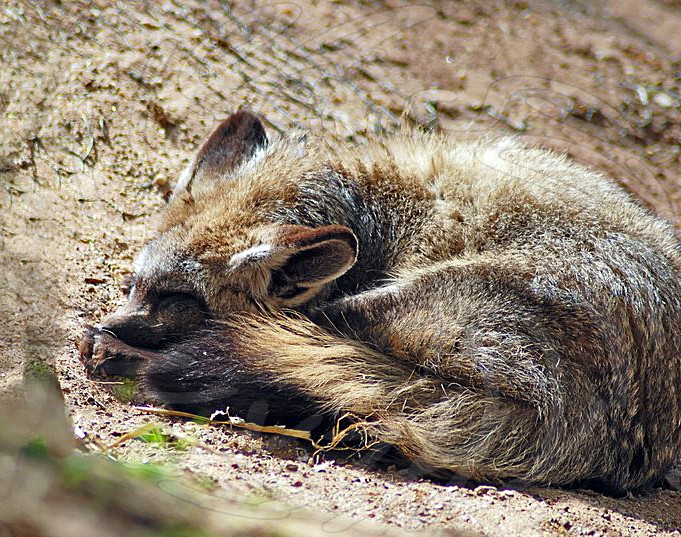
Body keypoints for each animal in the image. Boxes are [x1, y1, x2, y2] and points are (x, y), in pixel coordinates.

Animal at [80, 110, 681, 495]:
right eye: (134, 283)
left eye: (178, 300)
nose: (101, 330)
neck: (373, 215)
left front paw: (123, 349)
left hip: (413, 300)